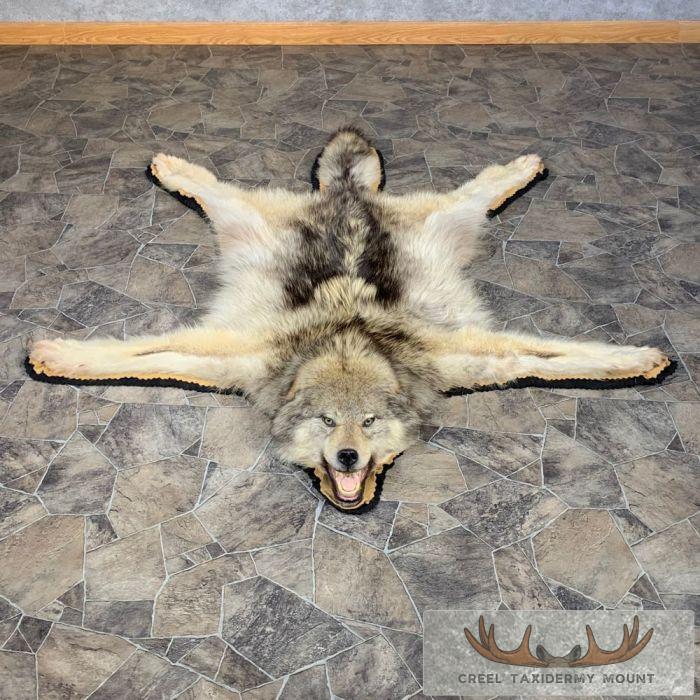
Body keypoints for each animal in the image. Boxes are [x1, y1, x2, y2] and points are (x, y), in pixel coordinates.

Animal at [29, 128, 670, 510]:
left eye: (368, 423)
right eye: (327, 421)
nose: (347, 458)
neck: (344, 339)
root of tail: (347, 194)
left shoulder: (457, 357)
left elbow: (561, 354)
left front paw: (639, 359)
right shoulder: (238, 357)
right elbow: (139, 354)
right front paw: (59, 355)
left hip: (446, 219)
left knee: (480, 184)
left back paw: (523, 165)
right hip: (246, 221)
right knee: (214, 186)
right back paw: (172, 167)